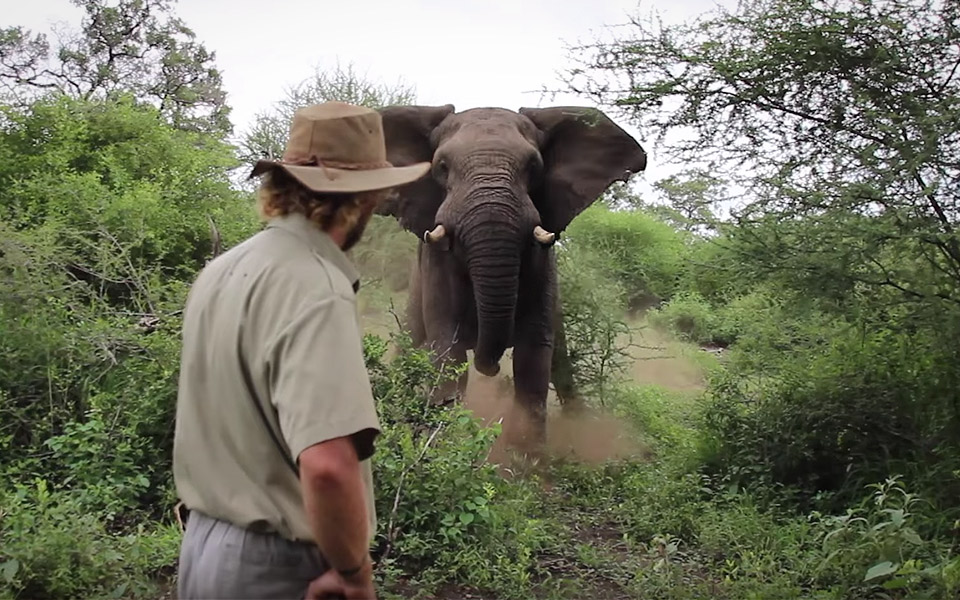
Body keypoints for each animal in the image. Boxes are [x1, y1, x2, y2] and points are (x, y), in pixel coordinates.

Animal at [374, 104, 644, 450]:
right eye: (442, 167)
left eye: (534, 167)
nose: (489, 367)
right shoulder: (435, 261)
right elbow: (447, 347)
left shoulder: (541, 260)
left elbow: (533, 358)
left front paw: (528, 459)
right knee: (410, 339)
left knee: (560, 362)